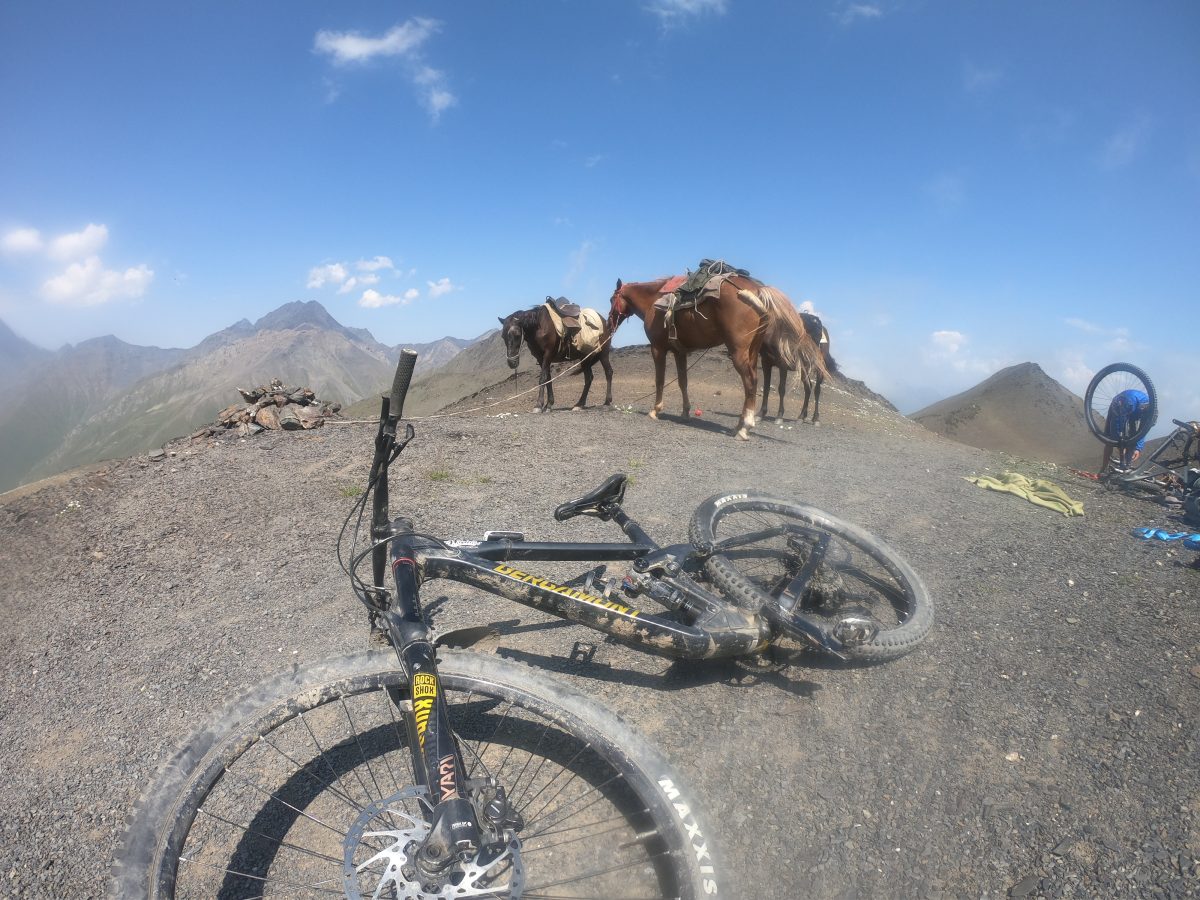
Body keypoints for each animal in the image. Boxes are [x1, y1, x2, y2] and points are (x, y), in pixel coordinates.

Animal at [607, 275, 821, 440]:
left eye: (611, 299)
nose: (609, 322)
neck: (654, 301)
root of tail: (758, 290)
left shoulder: (658, 348)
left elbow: (659, 380)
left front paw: (655, 410)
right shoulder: (680, 352)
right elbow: (682, 382)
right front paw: (685, 412)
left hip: (739, 353)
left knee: (751, 381)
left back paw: (744, 428)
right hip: (752, 352)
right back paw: (738, 425)